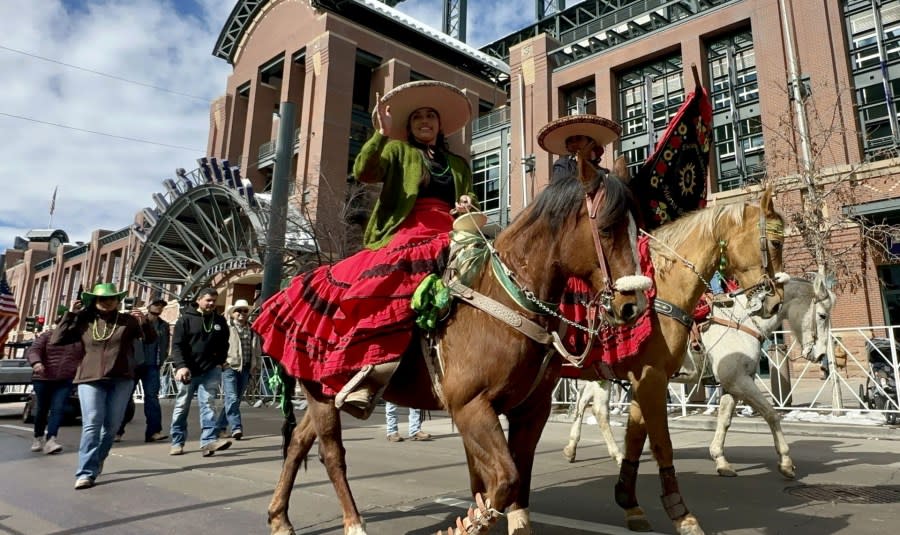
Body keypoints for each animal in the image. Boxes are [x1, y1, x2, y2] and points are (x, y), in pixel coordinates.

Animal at [264, 160, 652, 535]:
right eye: (606, 229)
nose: (633, 306)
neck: (508, 301)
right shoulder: (470, 406)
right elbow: (504, 480)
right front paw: (468, 524)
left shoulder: (531, 411)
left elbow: (512, 485)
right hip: (321, 393)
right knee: (332, 455)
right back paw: (354, 524)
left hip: (324, 393)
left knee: (298, 442)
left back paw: (280, 518)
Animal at [564, 189, 788, 535]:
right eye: (776, 243)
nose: (774, 302)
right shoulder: (660, 378)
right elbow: (664, 442)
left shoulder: (653, 379)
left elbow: (640, 438)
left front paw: (630, 502)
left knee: (590, 408)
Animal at [564, 278, 836, 480]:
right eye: (822, 315)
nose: (821, 355)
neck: (744, 319)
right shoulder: (738, 380)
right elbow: (770, 413)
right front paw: (786, 462)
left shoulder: (733, 383)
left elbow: (724, 420)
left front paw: (721, 460)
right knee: (599, 410)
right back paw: (616, 454)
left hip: (600, 375)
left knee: (583, 404)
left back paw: (572, 448)